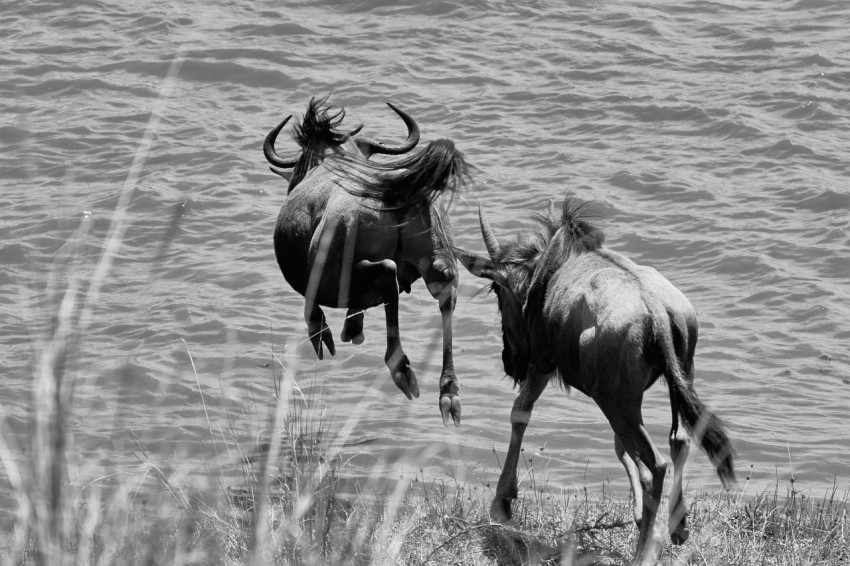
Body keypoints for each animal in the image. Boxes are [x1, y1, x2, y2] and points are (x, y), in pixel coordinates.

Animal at [264, 96, 470, 425]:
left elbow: (314, 314)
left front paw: (328, 334)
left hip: (337, 274)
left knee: (387, 273)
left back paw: (400, 367)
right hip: (438, 258)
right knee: (444, 292)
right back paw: (448, 391)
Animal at [454, 195, 735, 561]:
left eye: (498, 293)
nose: (510, 362)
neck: (548, 270)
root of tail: (658, 312)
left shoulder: (544, 362)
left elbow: (519, 413)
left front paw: (502, 502)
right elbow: (619, 447)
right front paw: (643, 515)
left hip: (615, 400)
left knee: (655, 464)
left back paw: (644, 551)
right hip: (674, 381)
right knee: (677, 441)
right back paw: (675, 526)